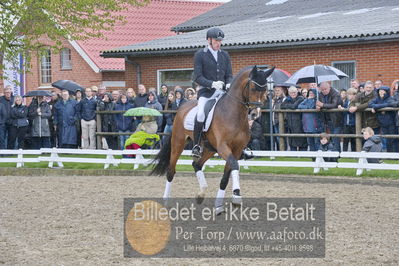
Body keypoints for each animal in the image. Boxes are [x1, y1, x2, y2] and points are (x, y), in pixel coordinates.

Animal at [150, 65, 276, 214]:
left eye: (266, 90)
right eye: (252, 87)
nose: (254, 114)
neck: (234, 114)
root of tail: (182, 107)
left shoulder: (237, 150)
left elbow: (226, 177)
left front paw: (219, 206)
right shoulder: (223, 147)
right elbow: (235, 165)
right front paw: (236, 196)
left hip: (209, 148)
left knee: (197, 165)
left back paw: (201, 193)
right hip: (178, 142)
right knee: (171, 171)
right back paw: (166, 202)